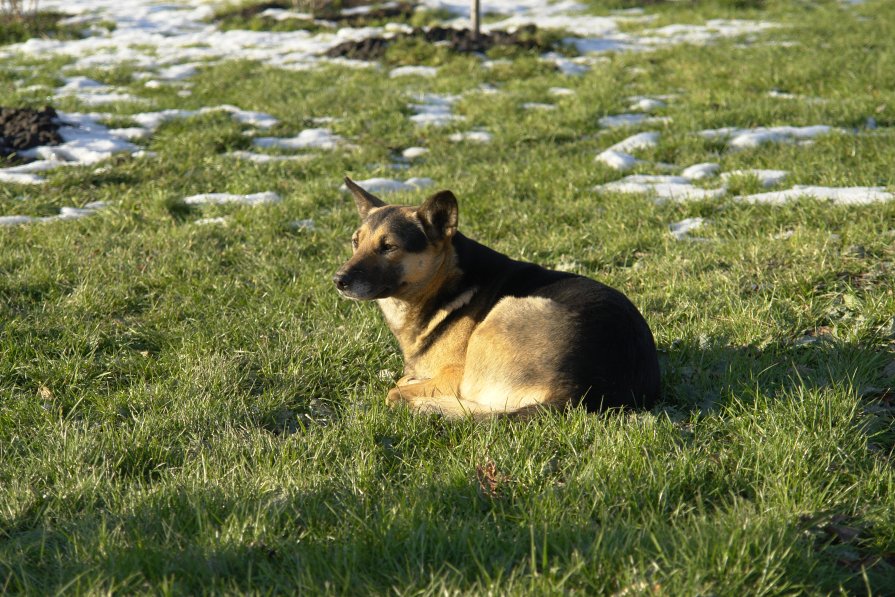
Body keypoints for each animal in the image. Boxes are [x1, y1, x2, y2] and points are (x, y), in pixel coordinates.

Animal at [332, 177, 660, 416]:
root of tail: (575, 392)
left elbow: (398, 387)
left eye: (388, 247)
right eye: (355, 242)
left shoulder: (454, 377)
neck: (444, 281)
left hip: (502, 315)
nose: (338, 281)